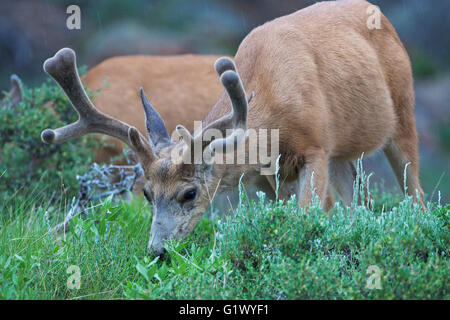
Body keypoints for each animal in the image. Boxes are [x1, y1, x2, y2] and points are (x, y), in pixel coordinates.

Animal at [42, 0, 426, 255]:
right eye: (147, 193)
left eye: (189, 193)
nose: (157, 250)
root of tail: (379, 13)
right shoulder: (266, 175)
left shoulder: (316, 146)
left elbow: (307, 215)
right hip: (343, 155)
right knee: (361, 205)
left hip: (403, 113)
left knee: (416, 195)